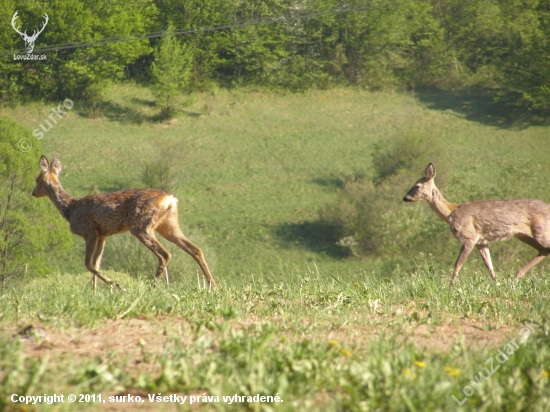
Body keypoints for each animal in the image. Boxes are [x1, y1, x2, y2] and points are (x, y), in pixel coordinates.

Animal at [31, 154, 218, 292]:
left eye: (36, 180)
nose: (33, 193)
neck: (70, 209)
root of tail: (170, 199)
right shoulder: (103, 235)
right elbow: (96, 263)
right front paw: (95, 291)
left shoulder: (90, 231)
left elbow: (88, 264)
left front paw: (116, 284)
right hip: (168, 225)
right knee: (195, 249)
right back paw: (213, 285)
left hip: (141, 225)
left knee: (165, 254)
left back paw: (151, 287)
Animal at [406, 163, 550, 284]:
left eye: (417, 186)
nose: (405, 198)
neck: (450, 213)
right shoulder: (481, 241)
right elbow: (489, 265)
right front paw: (496, 284)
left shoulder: (469, 236)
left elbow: (457, 264)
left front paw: (450, 286)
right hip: (522, 234)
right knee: (543, 250)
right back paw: (516, 276)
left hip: (541, 230)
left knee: (546, 248)